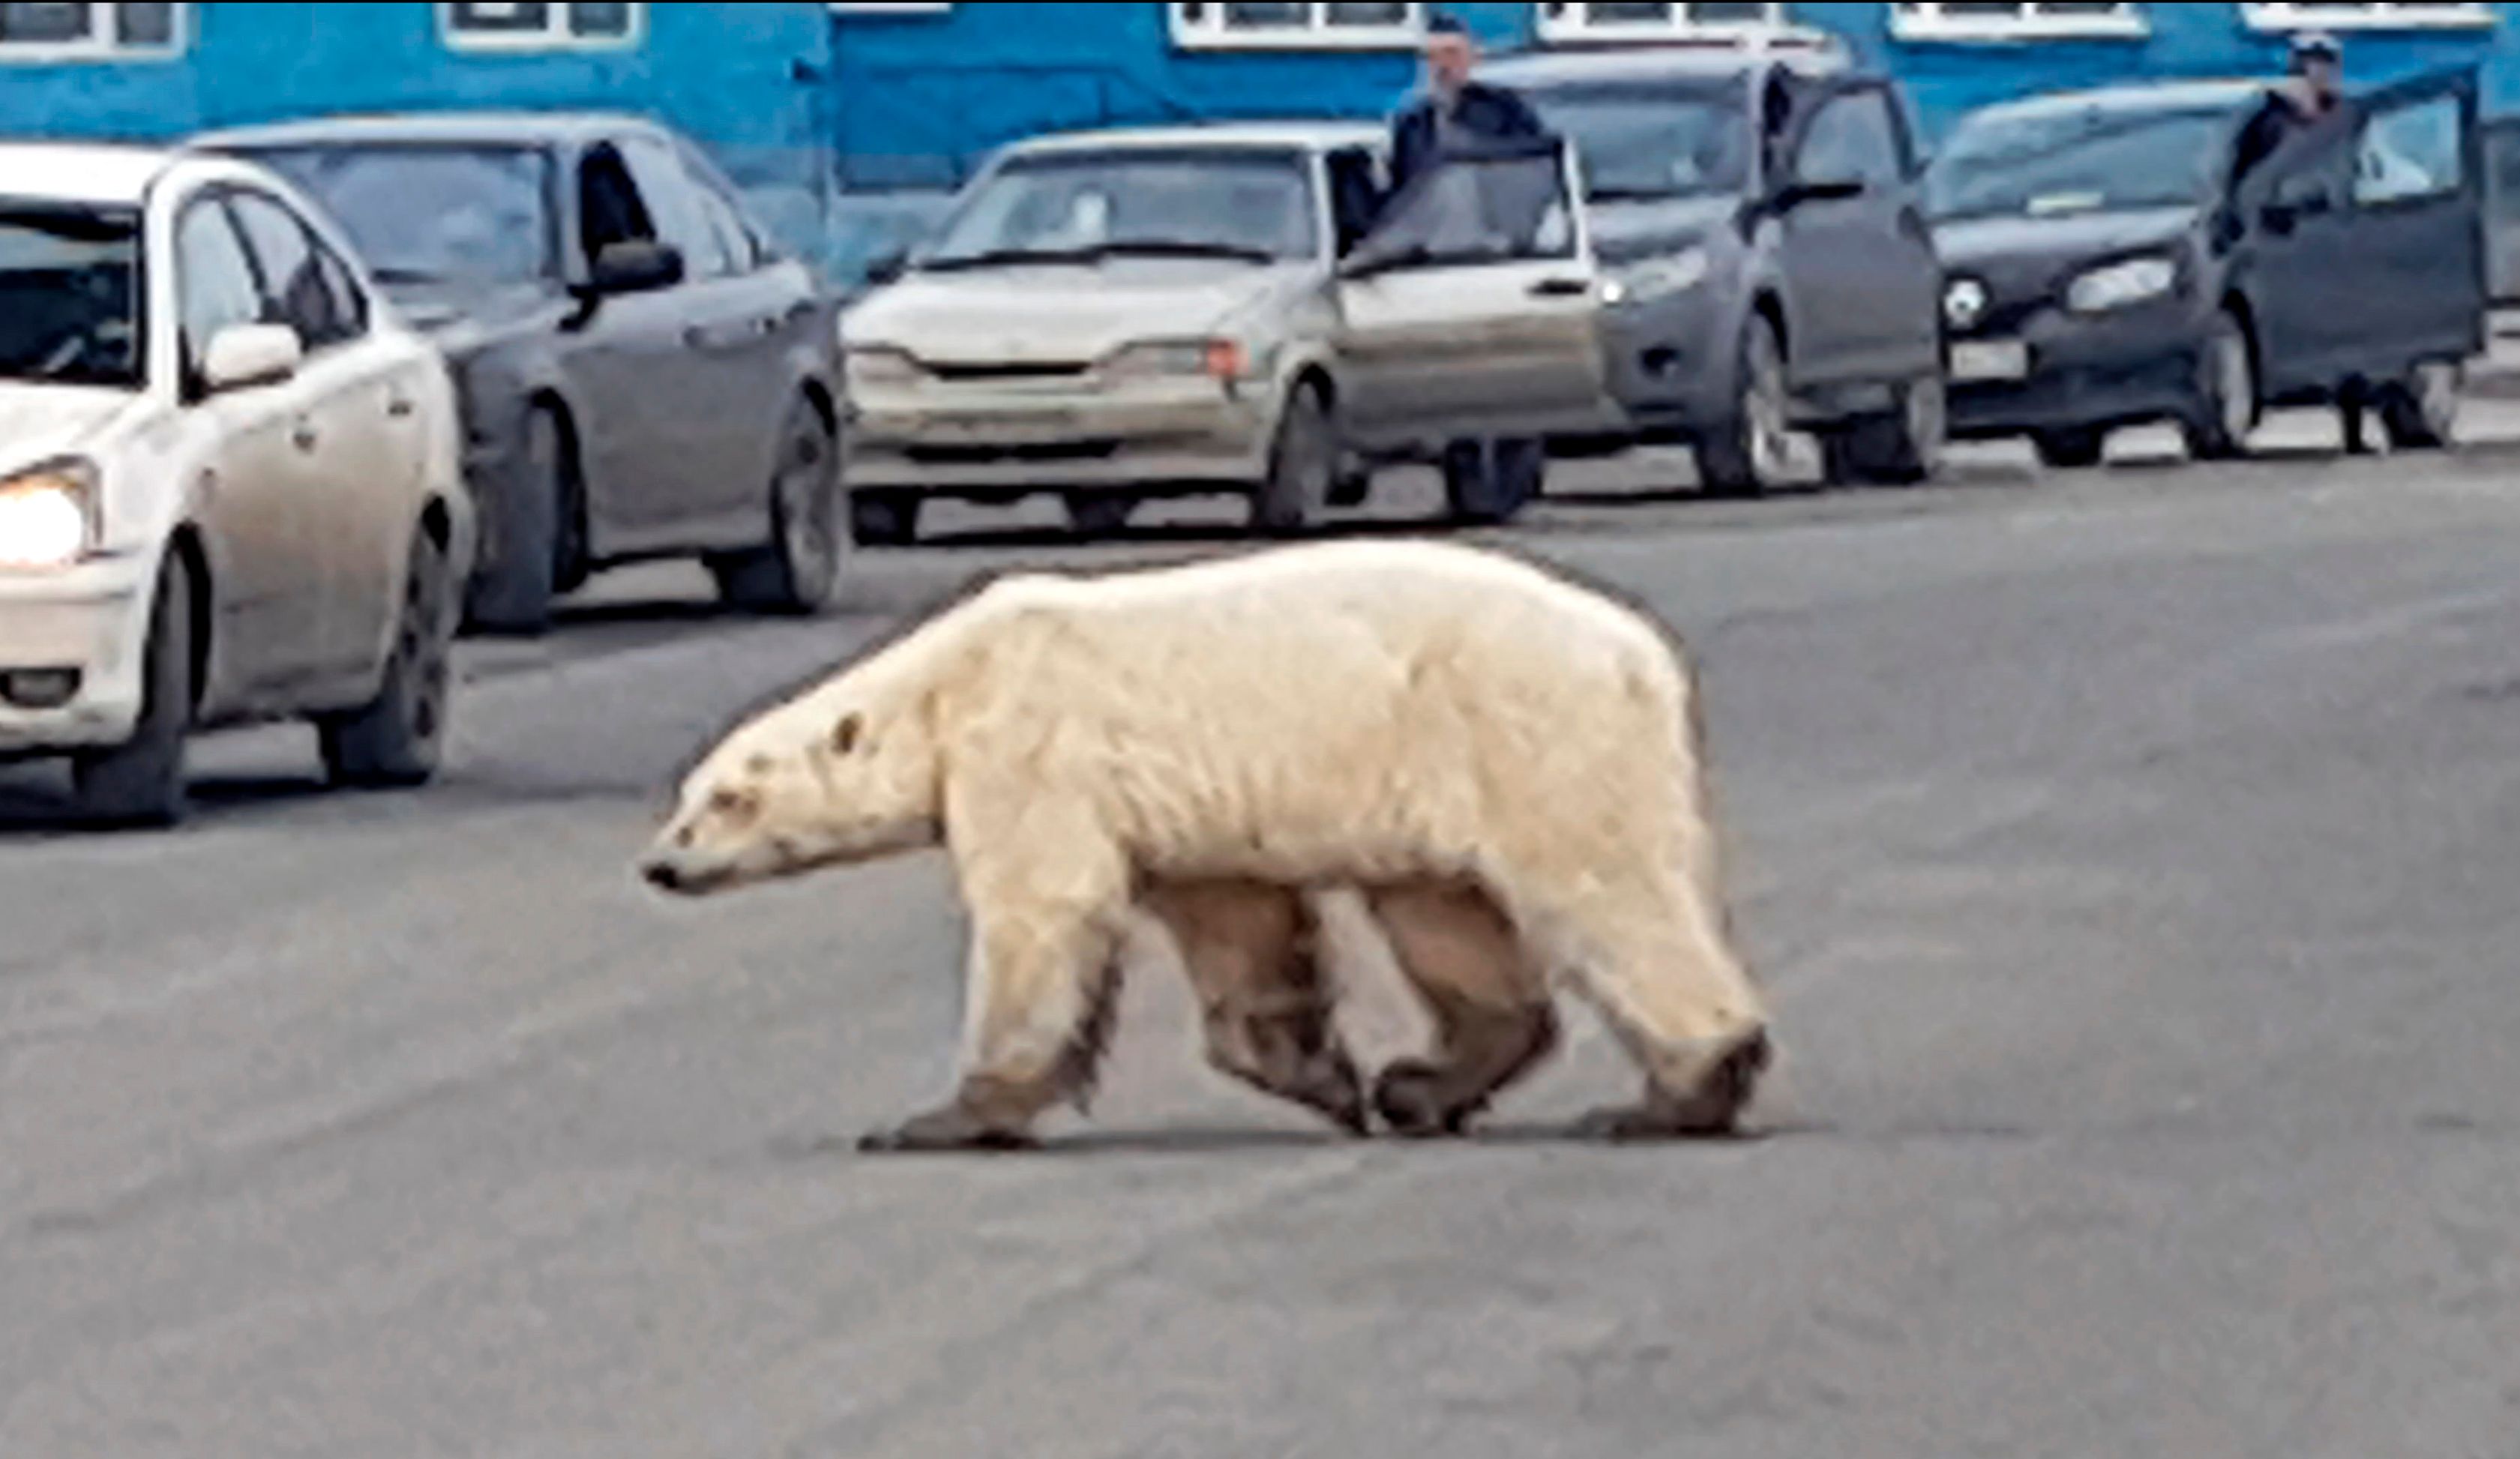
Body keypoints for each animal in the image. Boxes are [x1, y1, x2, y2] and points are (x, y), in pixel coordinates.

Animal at [638, 537, 1771, 1151]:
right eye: (687, 795)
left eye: (728, 798)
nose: (661, 863)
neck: (948, 678)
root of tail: (1644, 655)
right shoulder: (1187, 810)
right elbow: (1238, 926)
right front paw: (1326, 1078)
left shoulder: (1031, 746)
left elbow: (1041, 910)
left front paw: (942, 1119)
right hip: (1440, 769)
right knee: (1446, 914)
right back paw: (1421, 1084)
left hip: (1525, 728)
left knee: (1603, 889)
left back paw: (1677, 1092)